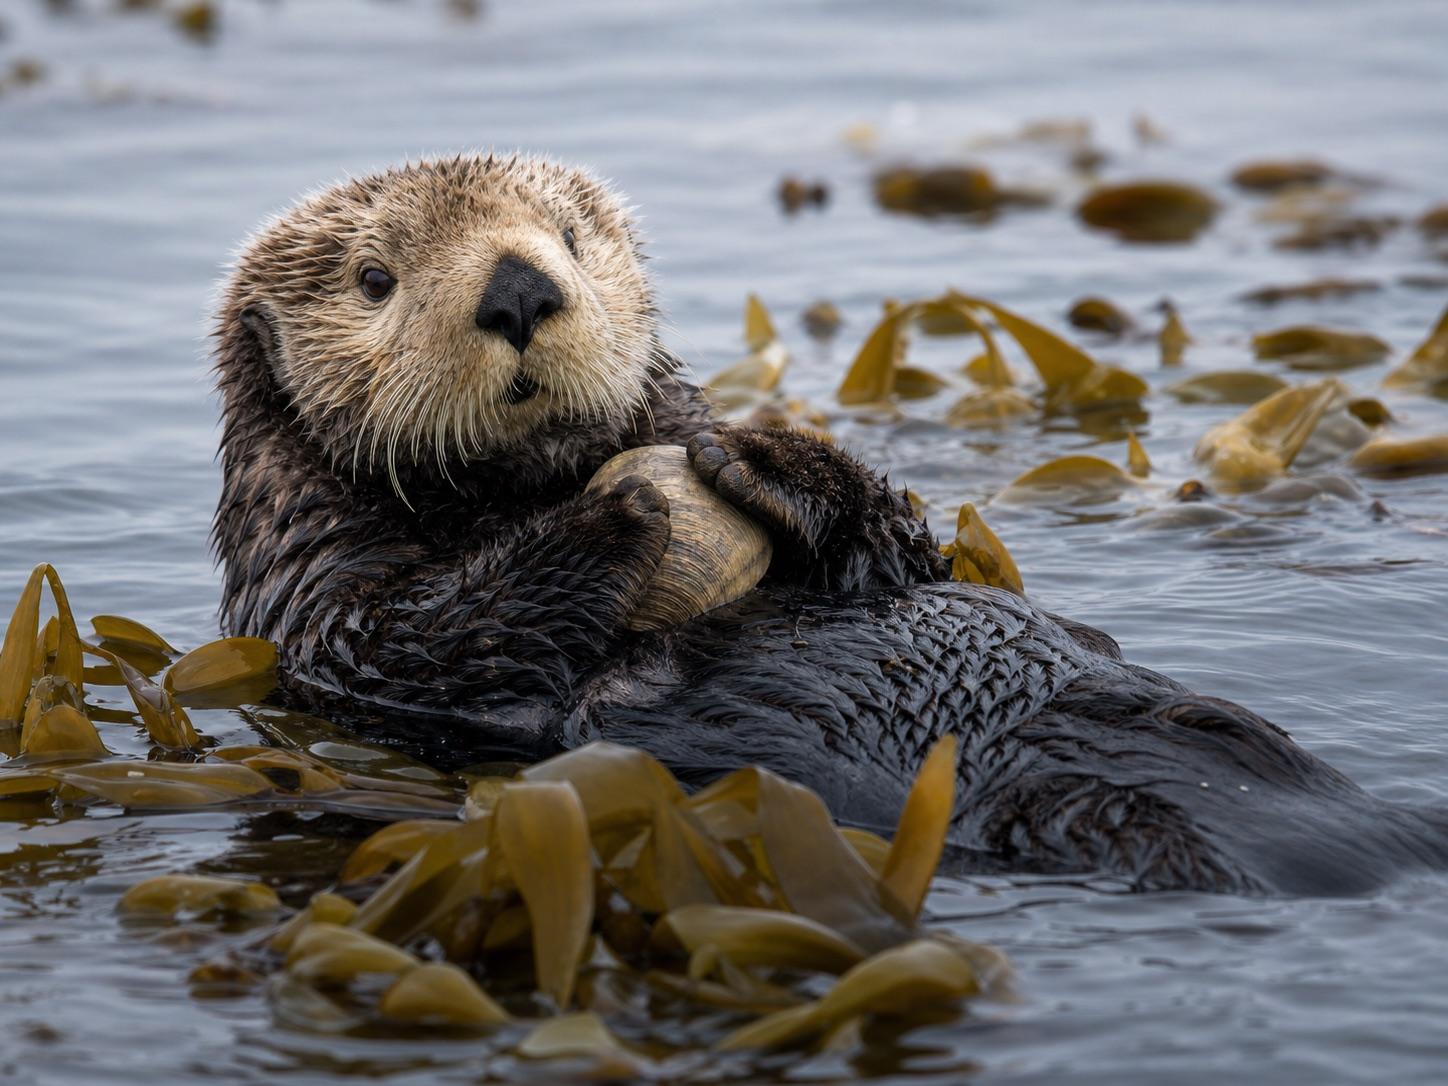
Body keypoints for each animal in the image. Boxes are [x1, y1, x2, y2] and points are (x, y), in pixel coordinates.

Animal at [212, 154, 1448, 895]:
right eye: (374, 278)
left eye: (564, 235)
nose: (519, 289)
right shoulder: (319, 611)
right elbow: (412, 638)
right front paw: (618, 508)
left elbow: (900, 554)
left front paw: (764, 456)